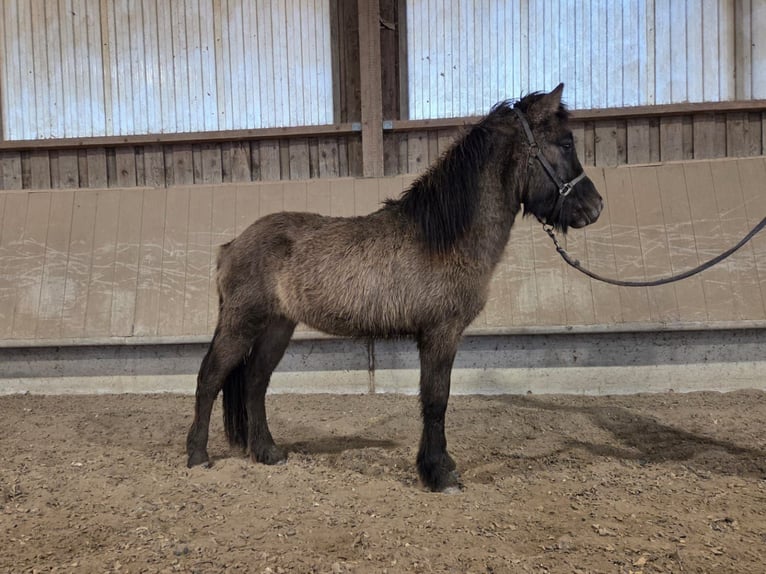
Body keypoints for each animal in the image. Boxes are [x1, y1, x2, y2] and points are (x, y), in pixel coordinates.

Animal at [186, 84, 603, 492]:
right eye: (566, 143)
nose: (595, 206)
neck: (441, 237)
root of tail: (231, 246)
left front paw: (438, 467)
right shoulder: (440, 333)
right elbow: (436, 400)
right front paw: (439, 473)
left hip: (277, 326)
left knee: (255, 382)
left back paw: (268, 452)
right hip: (242, 322)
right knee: (210, 378)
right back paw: (198, 456)